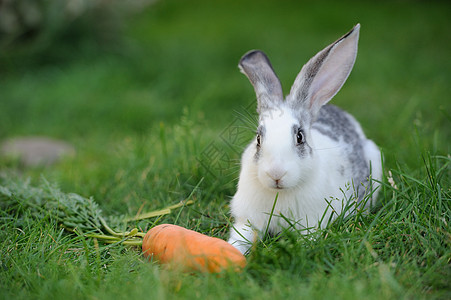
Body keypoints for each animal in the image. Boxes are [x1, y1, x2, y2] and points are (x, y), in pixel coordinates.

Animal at [230, 23, 382, 254]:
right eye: (258, 139)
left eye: (300, 137)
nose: (276, 174)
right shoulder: (247, 221)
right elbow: (239, 239)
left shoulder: (312, 223)